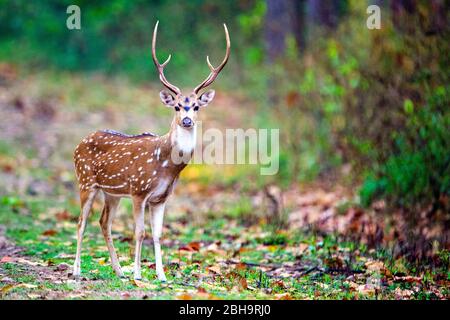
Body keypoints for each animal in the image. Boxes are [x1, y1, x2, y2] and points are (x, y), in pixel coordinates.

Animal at [73, 21, 232, 280]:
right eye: (177, 106)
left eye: (196, 106)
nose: (187, 120)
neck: (166, 165)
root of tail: (79, 143)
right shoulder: (139, 191)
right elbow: (140, 232)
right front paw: (138, 274)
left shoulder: (161, 198)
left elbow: (158, 234)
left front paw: (161, 275)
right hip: (86, 181)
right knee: (81, 222)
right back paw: (77, 270)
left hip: (112, 193)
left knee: (104, 222)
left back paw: (119, 271)